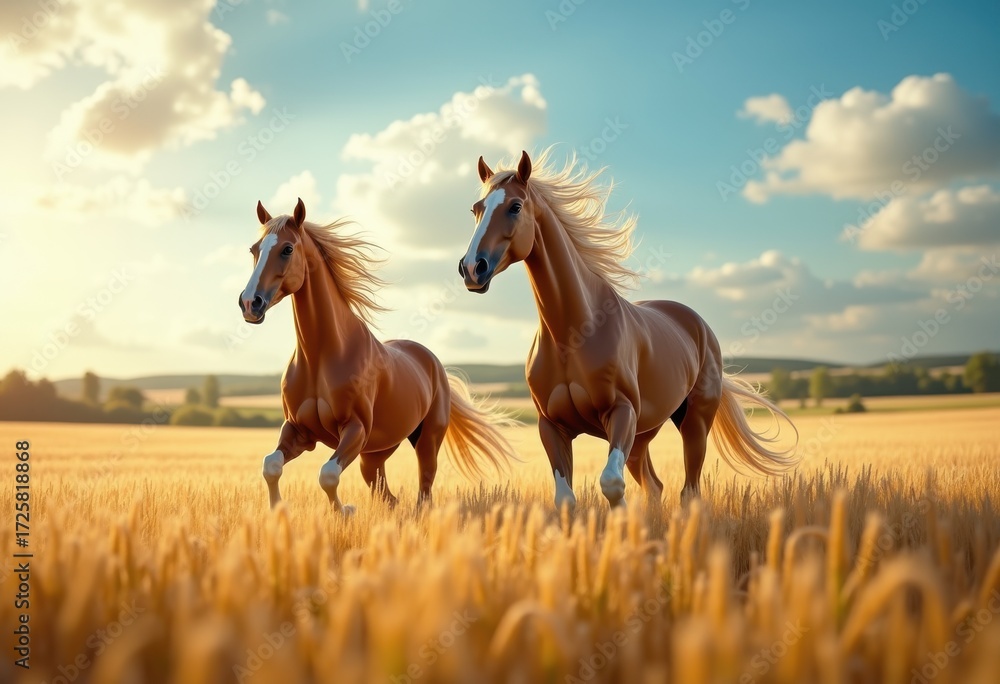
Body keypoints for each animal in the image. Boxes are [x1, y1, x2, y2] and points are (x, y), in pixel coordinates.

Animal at [240, 198, 516, 513]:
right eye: (254, 249)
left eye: (287, 249)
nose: (250, 303)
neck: (321, 356)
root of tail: (434, 363)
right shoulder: (298, 430)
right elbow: (271, 466)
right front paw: (279, 510)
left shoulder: (355, 429)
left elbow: (328, 474)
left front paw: (345, 511)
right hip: (376, 453)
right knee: (387, 493)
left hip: (427, 440)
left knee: (425, 488)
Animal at [458, 150, 798, 511]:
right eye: (476, 209)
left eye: (515, 206)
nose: (472, 268)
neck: (573, 334)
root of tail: (697, 324)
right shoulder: (551, 426)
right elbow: (566, 498)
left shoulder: (621, 414)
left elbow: (611, 484)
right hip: (643, 437)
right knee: (655, 486)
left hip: (694, 423)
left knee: (689, 490)